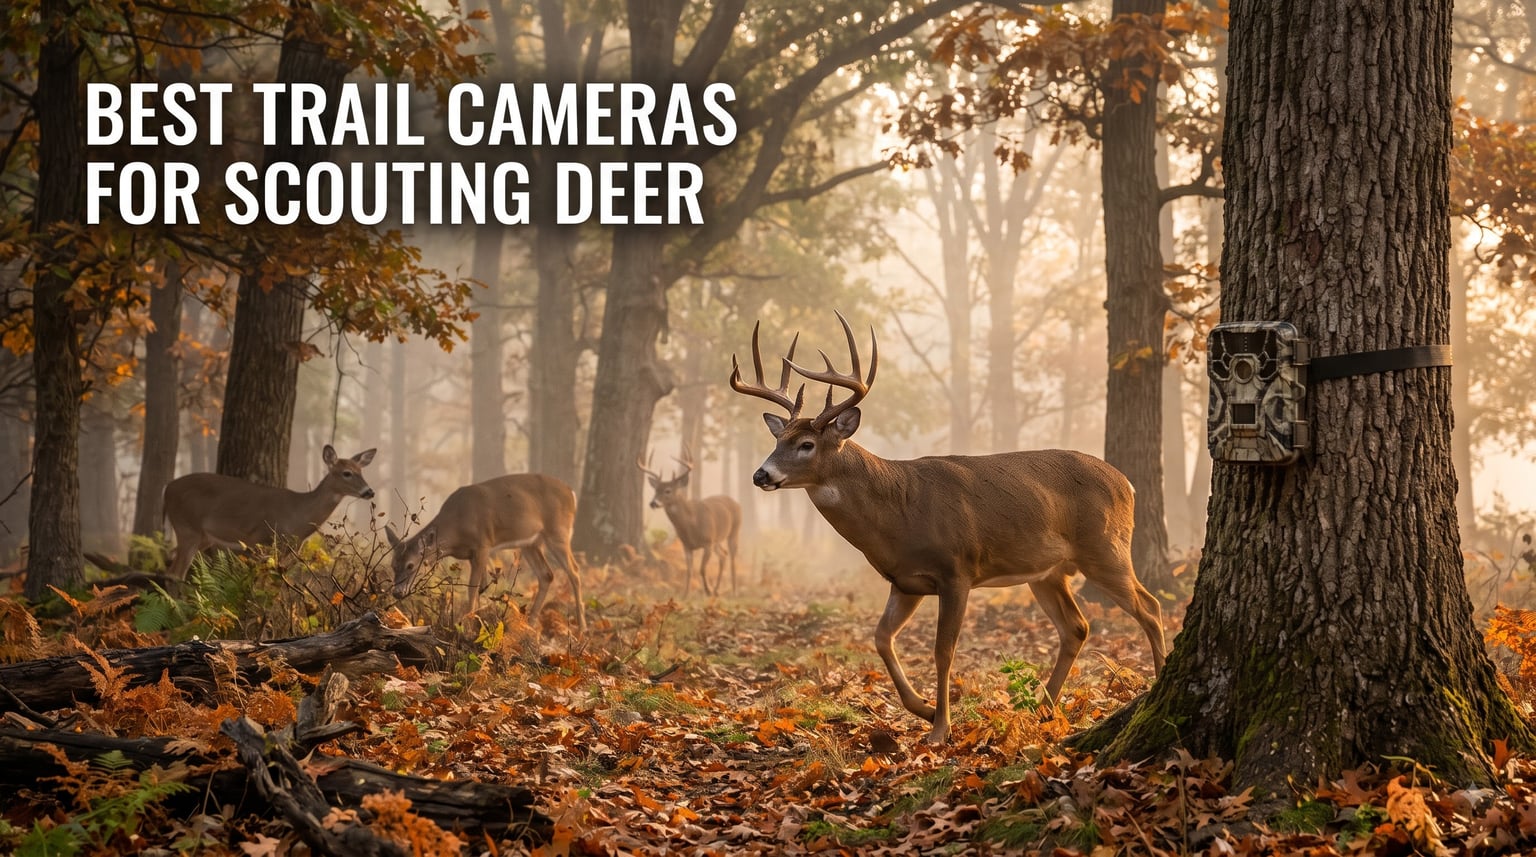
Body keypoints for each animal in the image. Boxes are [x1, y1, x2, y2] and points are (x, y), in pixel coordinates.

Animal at [163, 445, 378, 580]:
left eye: (361, 471)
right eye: (347, 473)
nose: (369, 491)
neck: (298, 516)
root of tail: (167, 489)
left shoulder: (289, 549)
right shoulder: (263, 540)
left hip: (203, 537)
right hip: (187, 527)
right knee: (175, 574)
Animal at [386, 473, 586, 633]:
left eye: (411, 565)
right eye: (393, 565)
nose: (397, 593)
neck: (456, 527)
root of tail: (571, 493)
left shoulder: (483, 545)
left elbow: (472, 589)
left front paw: (464, 624)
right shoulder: (472, 555)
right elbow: (480, 588)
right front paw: (476, 621)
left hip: (558, 531)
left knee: (575, 572)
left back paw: (581, 627)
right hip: (530, 543)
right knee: (547, 574)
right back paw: (529, 624)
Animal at [638, 449, 743, 596]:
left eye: (668, 490)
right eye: (655, 490)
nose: (653, 503)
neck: (692, 525)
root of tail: (736, 503)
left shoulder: (707, 542)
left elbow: (702, 569)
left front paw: (707, 591)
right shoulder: (687, 545)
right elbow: (689, 570)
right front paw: (685, 594)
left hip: (734, 530)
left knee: (733, 557)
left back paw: (734, 591)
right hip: (716, 540)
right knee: (723, 555)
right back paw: (717, 590)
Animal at [729, 313, 1167, 745]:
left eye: (806, 444)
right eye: (779, 439)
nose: (760, 474)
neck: (899, 511)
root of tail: (1127, 483)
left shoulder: (957, 570)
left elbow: (943, 650)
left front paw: (941, 729)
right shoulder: (905, 581)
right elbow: (881, 637)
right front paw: (923, 709)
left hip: (1104, 547)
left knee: (1150, 606)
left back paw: (1155, 683)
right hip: (1047, 572)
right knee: (1076, 627)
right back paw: (1041, 710)